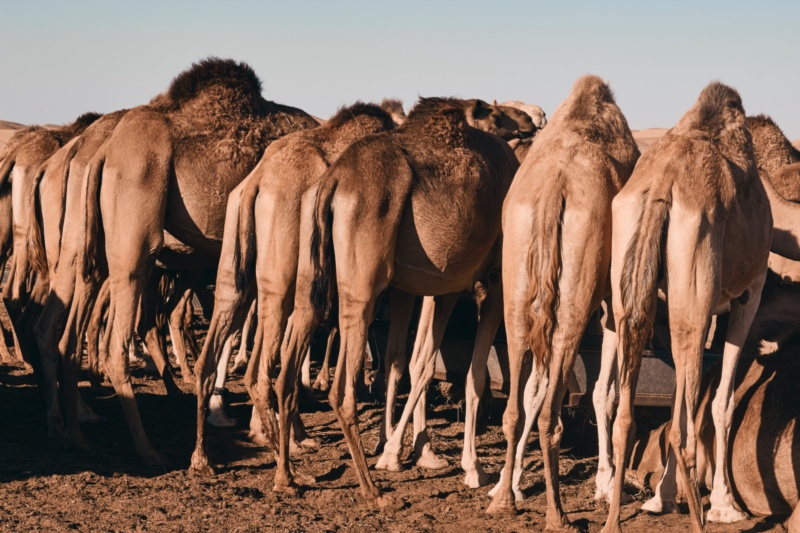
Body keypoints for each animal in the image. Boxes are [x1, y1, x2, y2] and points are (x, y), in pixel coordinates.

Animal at [78, 58, 317, 465]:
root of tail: (104, 153)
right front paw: (290, 436)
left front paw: (265, 429)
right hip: (134, 245)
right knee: (117, 343)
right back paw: (148, 449)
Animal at [189, 100, 403, 474]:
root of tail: (257, 183)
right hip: (285, 276)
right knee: (263, 369)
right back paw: (286, 461)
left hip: (237, 263)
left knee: (215, 348)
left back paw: (204, 458)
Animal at [261, 96, 519, 504]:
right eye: (499, 113)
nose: (529, 122)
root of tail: (334, 180)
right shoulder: (492, 282)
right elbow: (473, 375)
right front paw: (473, 470)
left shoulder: (435, 286)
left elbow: (412, 361)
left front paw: (404, 451)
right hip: (363, 284)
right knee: (342, 389)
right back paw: (372, 491)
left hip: (312, 275)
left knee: (288, 369)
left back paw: (287, 477)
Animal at [486, 76, 639, 530]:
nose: (535, 117)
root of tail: (556, 187)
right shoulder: (608, 302)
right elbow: (604, 393)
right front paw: (605, 484)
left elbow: (533, 391)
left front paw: (512, 483)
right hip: (576, 292)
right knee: (551, 412)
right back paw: (558, 515)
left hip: (518, 279)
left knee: (517, 403)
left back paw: (503, 501)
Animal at [599, 82, 772, 533]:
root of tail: (663, 185)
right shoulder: (748, 293)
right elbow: (722, 401)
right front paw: (727, 506)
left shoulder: (689, 304)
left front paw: (662, 497)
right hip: (697, 268)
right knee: (686, 434)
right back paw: (699, 520)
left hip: (632, 287)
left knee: (626, 417)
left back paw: (612, 521)